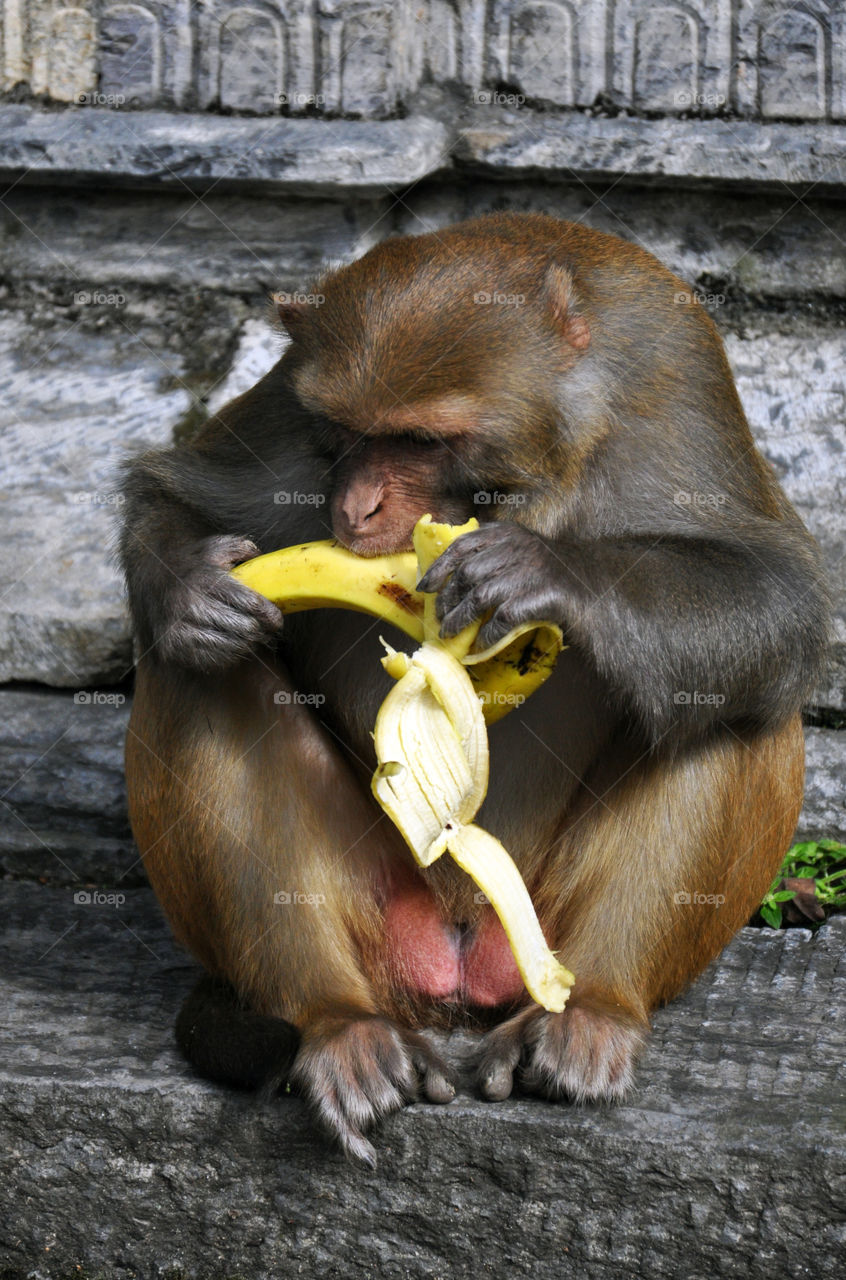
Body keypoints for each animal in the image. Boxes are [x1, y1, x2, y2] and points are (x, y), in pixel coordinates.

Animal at [122, 209, 829, 1162]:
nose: (356, 507)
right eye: (346, 431)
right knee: (199, 676)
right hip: (384, 905)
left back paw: (594, 1009)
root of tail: (461, 959)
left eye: (422, 440)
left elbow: (781, 596)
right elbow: (177, 498)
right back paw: (337, 1024)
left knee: (730, 701)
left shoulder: (677, 382)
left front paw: (550, 573)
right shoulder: (286, 412)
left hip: (542, 916)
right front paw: (187, 590)